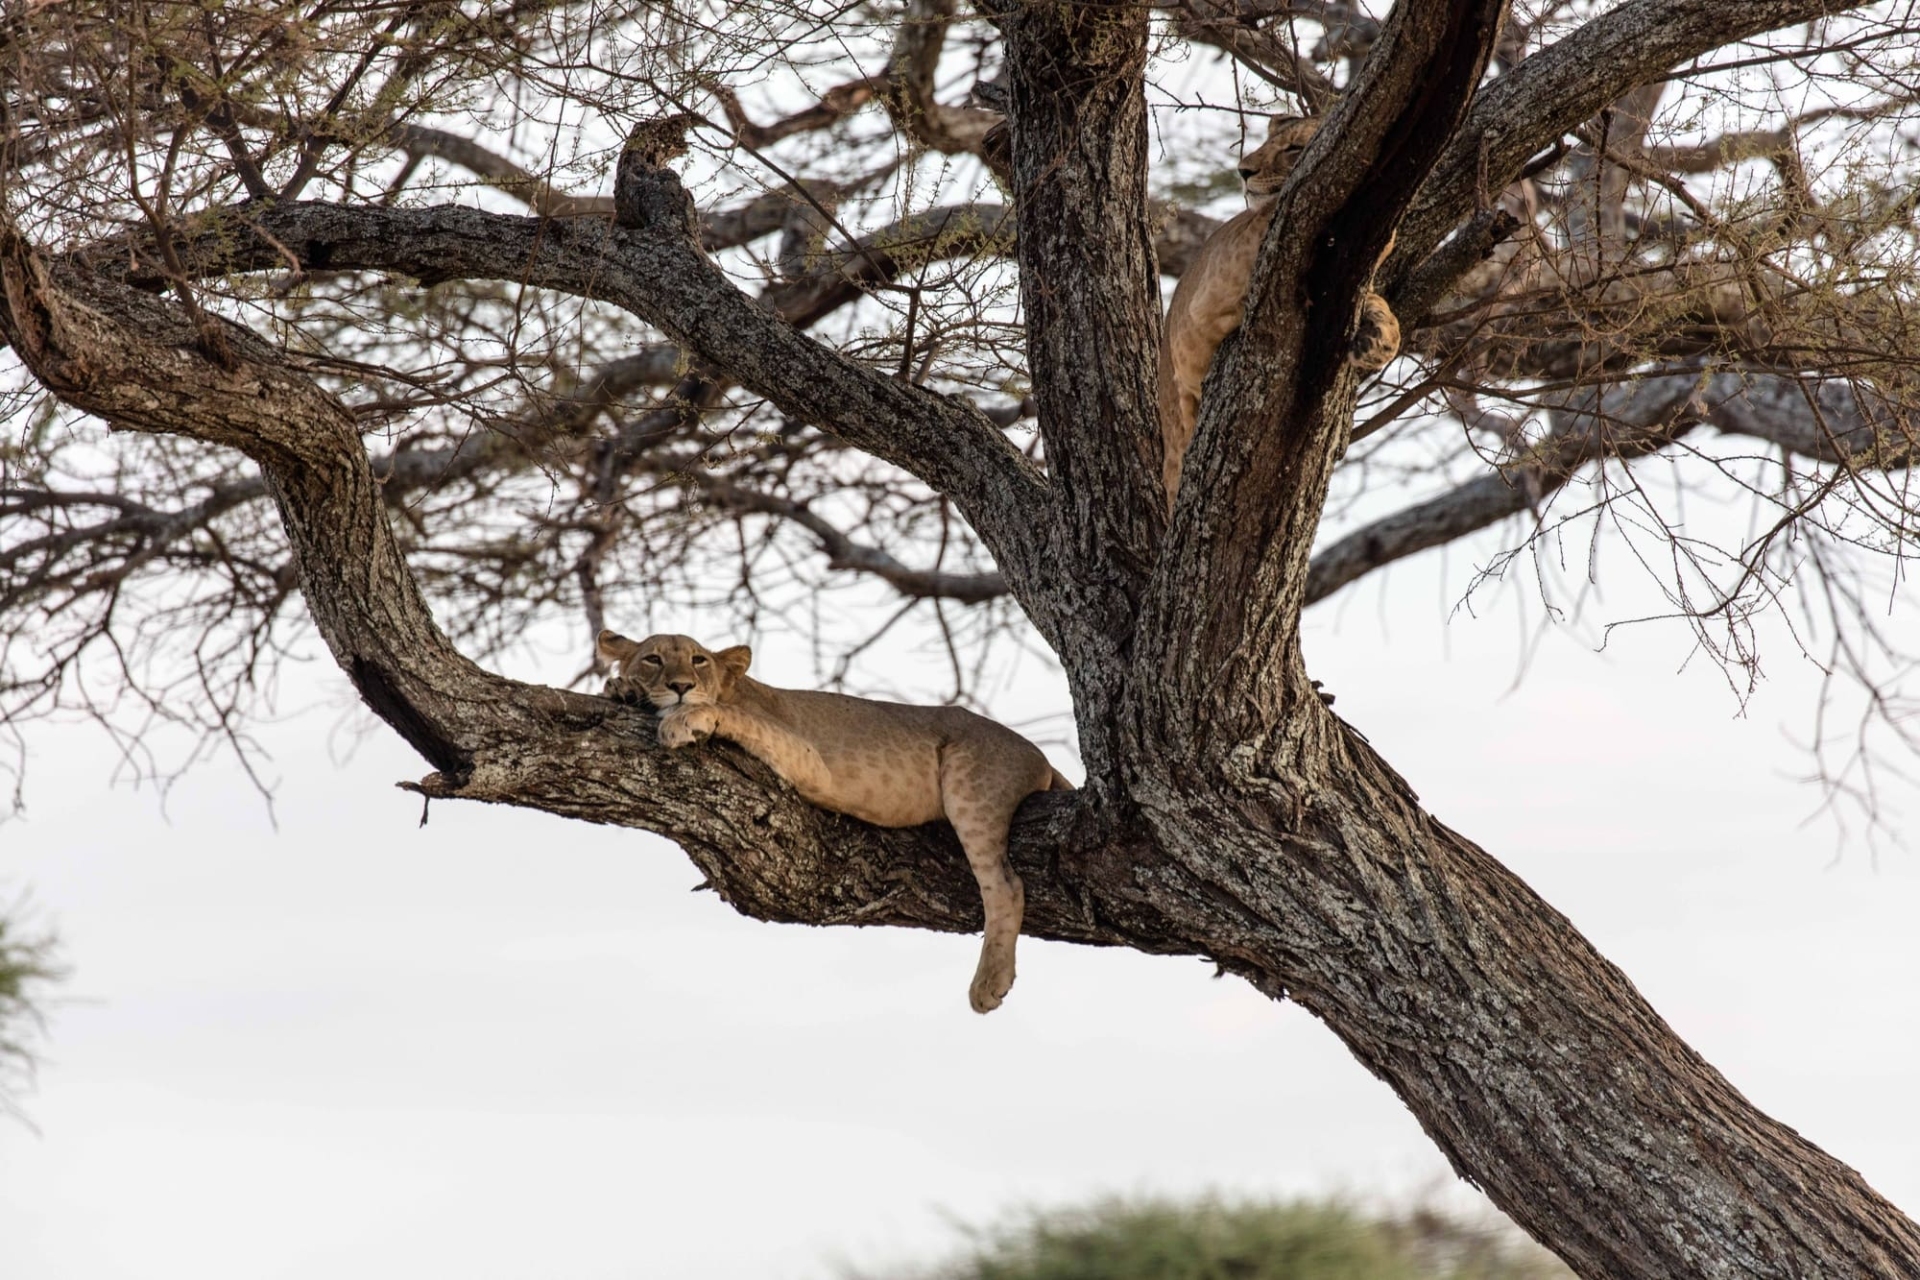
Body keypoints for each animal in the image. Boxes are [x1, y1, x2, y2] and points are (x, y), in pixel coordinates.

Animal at [597, 629, 1075, 1013]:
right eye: (652, 658)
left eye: (699, 660)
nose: (681, 687)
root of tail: (1040, 755)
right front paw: (620, 687)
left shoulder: (808, 757)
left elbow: (735, 715)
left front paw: (685, 718)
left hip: (970, 781)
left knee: (1005, 884)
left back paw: (989, 982)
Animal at [1157, 114, 1401, 509]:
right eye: (1265, 143)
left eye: (1293, 148)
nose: (1243, 170)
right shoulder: (1202, 309)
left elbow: (1379, 304)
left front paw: (1376, 342)